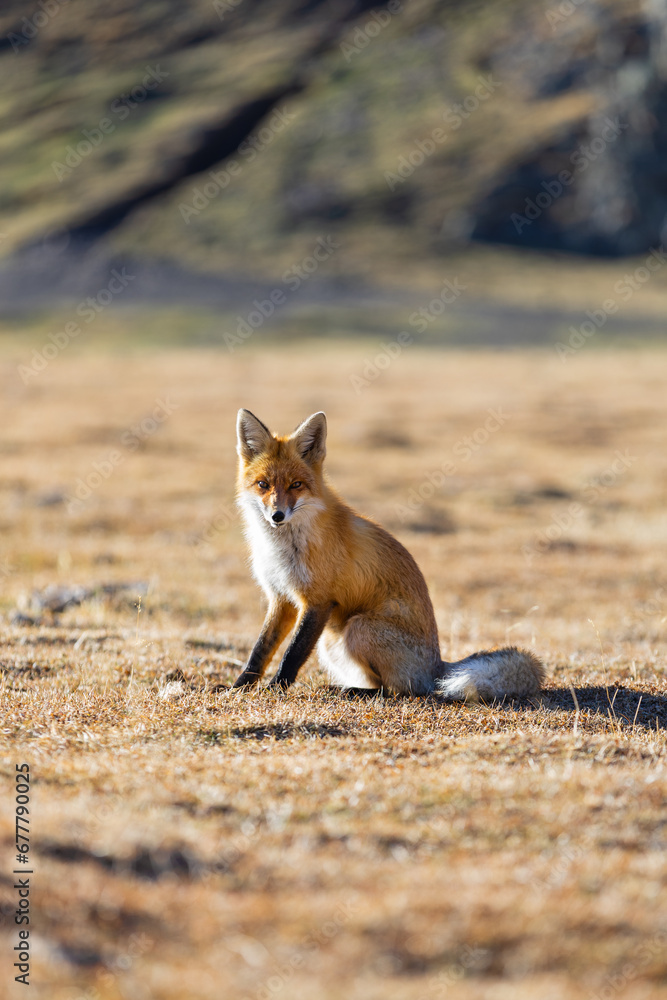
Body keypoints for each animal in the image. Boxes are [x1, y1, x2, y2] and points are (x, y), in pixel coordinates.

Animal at [232, 409, 544, 700]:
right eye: (263, 484)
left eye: (296, 484)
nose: (277, 515)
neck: (282, 547)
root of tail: (436, 667)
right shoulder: (281, 597)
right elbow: (260, 650)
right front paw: (238, 688)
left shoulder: (317, 600)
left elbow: (292, 654)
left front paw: (275, 688)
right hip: (331, 641)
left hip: (358, 628)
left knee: (401, 689)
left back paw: (356, 692)